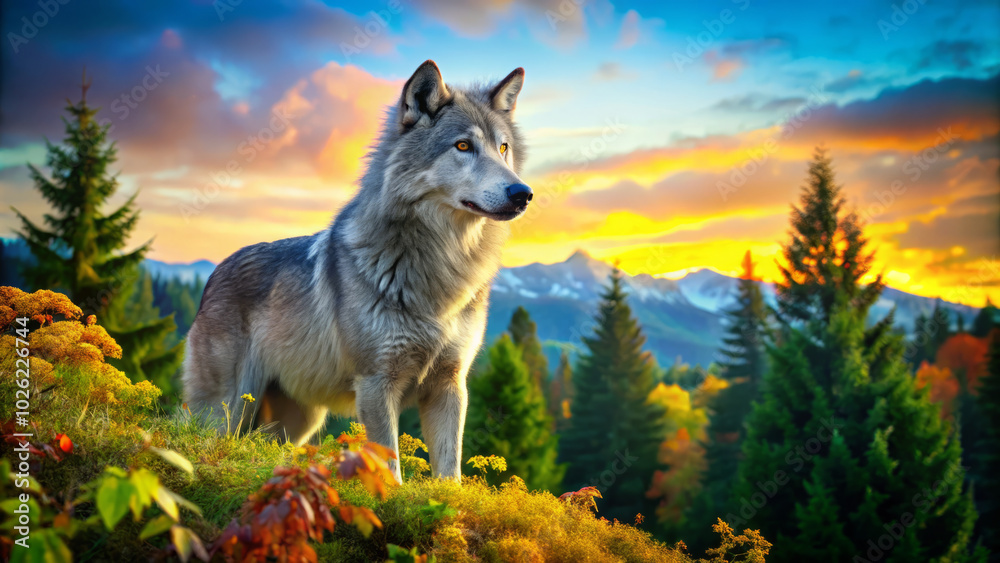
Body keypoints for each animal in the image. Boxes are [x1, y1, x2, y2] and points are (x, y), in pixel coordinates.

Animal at [182, 60, 532, 483]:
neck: (442, 265)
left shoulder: (450, 385)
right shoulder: (377, 383)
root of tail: (214, 273)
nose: (522, 193)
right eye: (463, 146)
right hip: (228, 410)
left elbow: (450, 473)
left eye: (503, 148)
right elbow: (391, 466)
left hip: (298, 422)